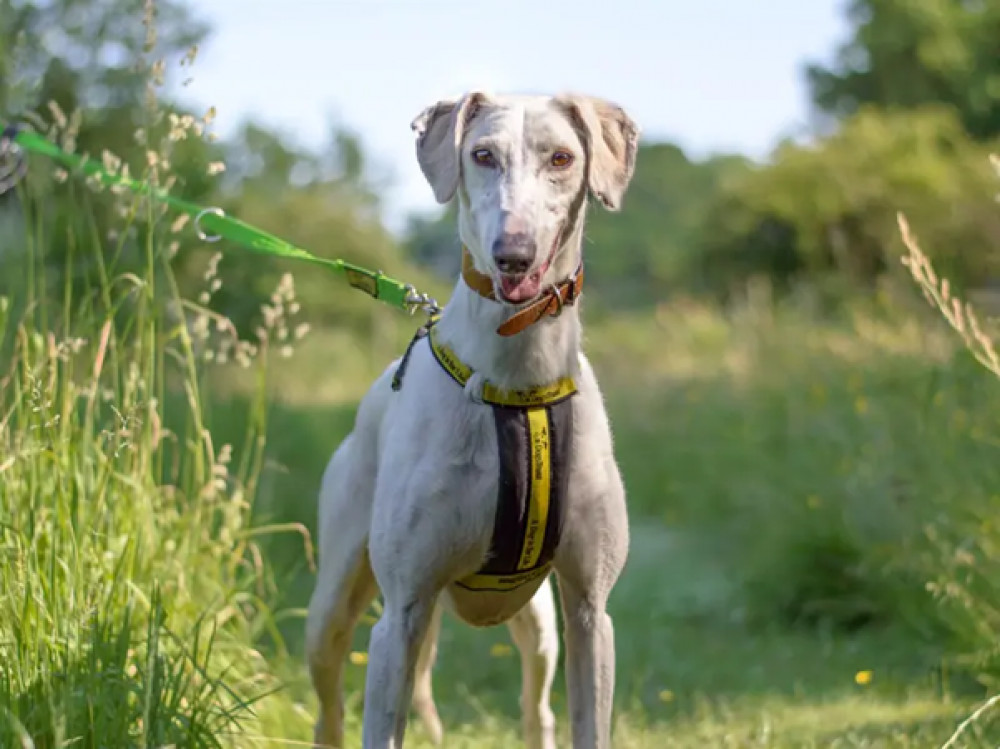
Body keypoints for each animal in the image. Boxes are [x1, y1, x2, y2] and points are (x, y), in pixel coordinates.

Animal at [306, 92, 640, 748]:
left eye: (562, 157)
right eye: (482, 155)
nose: (514, 254)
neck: (519, 380)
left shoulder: (590, 609)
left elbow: (588, 720)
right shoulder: (401, 614)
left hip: (540, 625)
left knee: (537, 708)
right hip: (333, 609)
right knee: (329, 709)